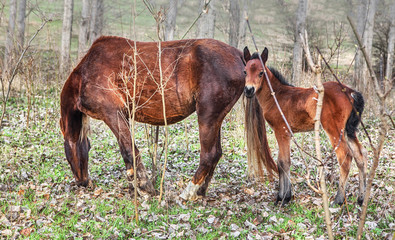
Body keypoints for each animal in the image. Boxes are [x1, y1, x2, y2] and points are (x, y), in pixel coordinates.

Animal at [61, 36, 278, 201]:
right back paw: (200, 191)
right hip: (215, 119)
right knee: (215, 154)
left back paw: (188, 192)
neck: (86, 73)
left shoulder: (112, 113)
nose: (82, 182)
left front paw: (144, 186)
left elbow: (129, 151)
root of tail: (240, 57)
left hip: (207, 116)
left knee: (209, 155)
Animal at [243, 47, 370, 206]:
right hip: (349, 129)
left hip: (334, 129)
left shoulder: (281, 131)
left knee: (345, 157)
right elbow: (282, 161)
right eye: (245, 71)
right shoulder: (286, 133)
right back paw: (361, 198)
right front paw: (287, 196)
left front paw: (282, 198)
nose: (248, 90)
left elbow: (283, 162)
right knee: (361, 154)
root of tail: (351, 92)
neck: (276, 96)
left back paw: (338, 200)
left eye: (261, 72)